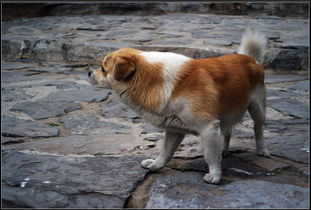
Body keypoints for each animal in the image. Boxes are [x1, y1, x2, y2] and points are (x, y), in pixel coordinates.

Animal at [88, 27, 270, 184]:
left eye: (103, 69)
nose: (89, 72)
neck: (151, 79)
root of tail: (250, 58)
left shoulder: (208, 128)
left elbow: (210, 155)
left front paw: (214, 176)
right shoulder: (174, 129)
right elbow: (165, 152)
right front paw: (155, 165)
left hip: (257, 108)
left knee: (258, 128)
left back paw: (261, 149)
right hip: (226, 114)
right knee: (227, 131)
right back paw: (224, 150)